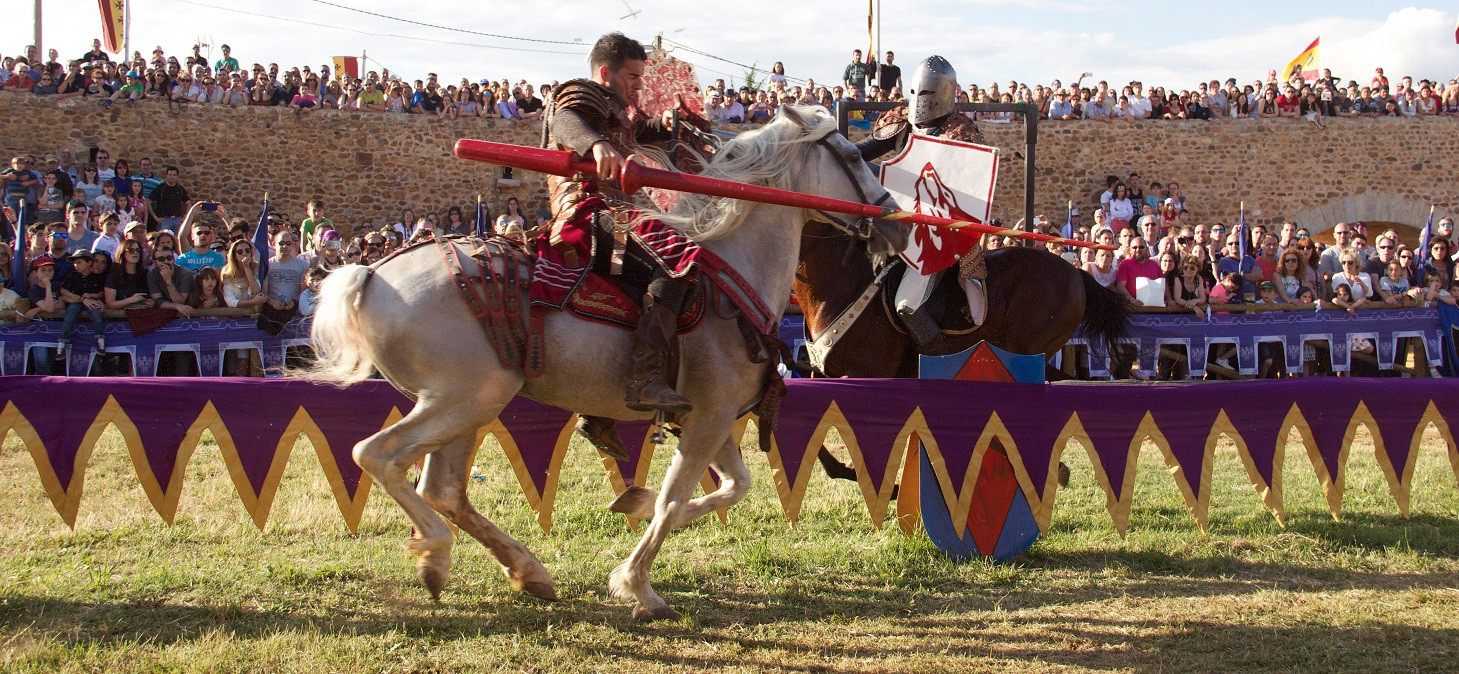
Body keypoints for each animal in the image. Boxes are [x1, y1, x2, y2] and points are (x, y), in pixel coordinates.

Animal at [310, 106, 898, 621]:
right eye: (852, 154)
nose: (890, 217)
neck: (732, 268)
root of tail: (371, 277)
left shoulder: (710, 421)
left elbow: (730, 488)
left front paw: (632, 504)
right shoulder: (708, 419)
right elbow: (674, 501)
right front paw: (639, 587)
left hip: (465, 408)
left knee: (444, 489)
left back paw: (523, 571)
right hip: (462, 400)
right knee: (377, 456)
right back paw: (438, 549)